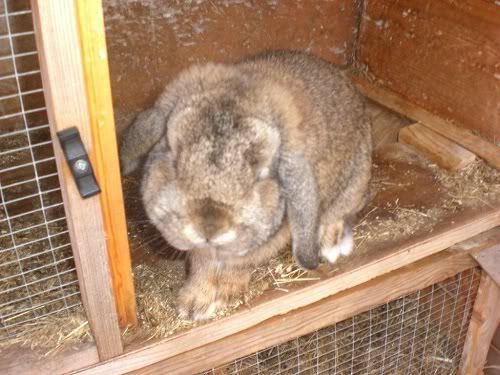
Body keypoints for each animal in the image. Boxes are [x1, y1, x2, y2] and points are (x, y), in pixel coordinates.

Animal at [120, 49, 372, 320]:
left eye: (260, 174)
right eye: (173, 159)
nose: (209, 228)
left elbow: (233, 267)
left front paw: (213, 300)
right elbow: (202, 265)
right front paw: (192, 304)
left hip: (354, 184)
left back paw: (331, 247)